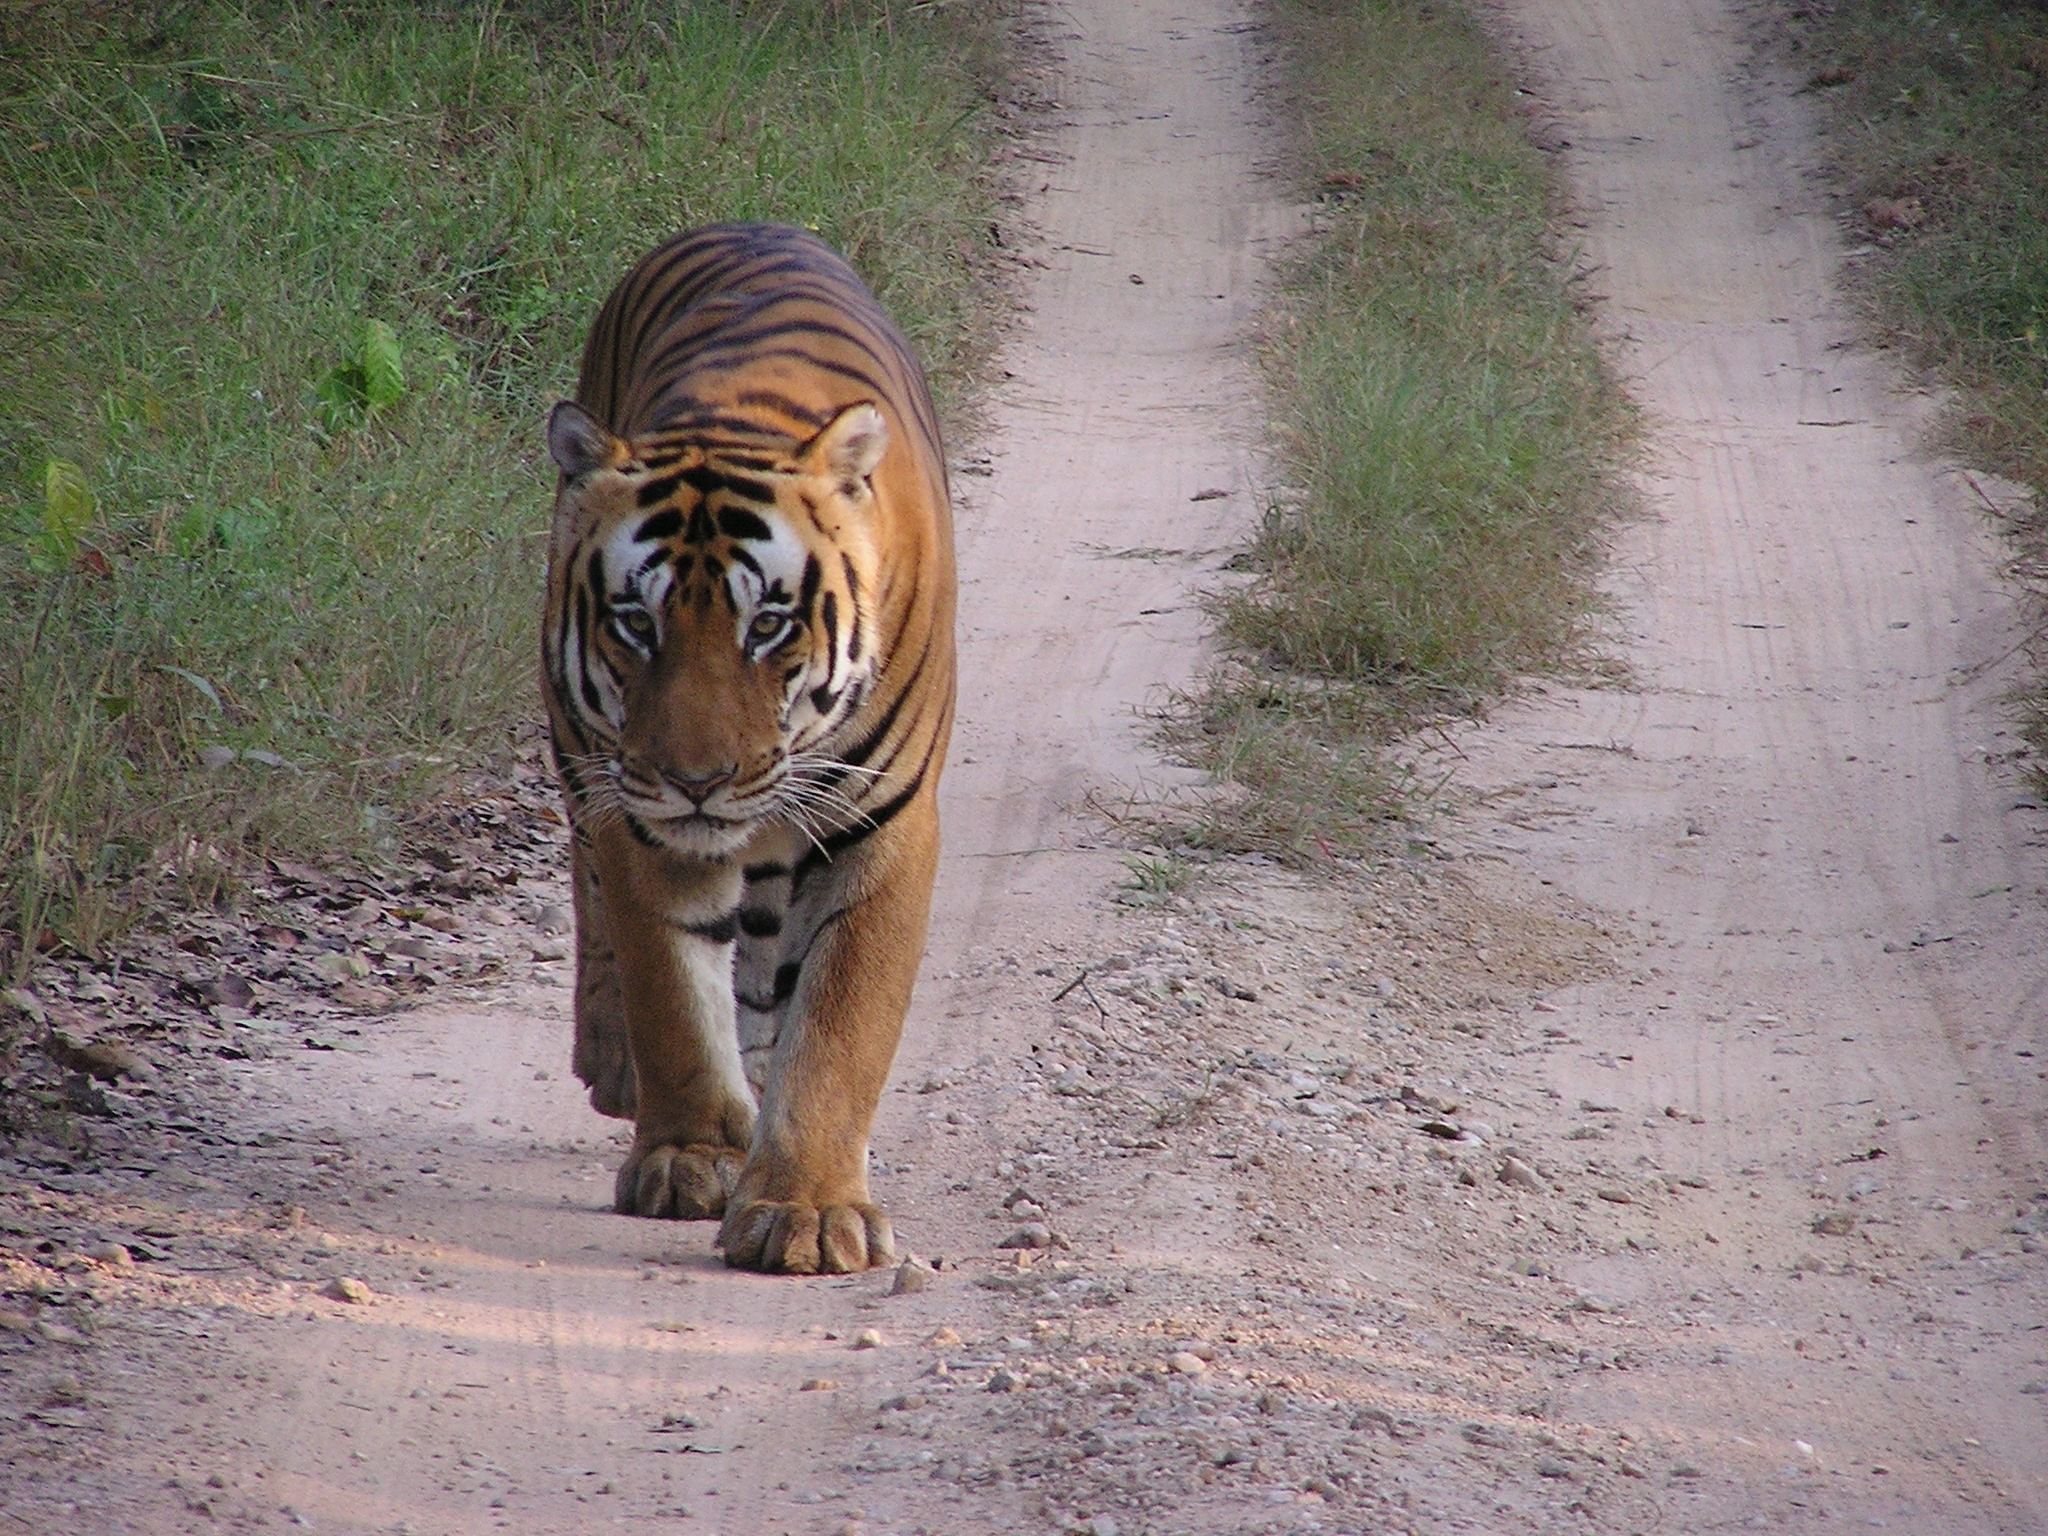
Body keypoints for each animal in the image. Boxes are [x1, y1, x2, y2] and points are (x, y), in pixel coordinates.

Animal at [544, 217, 958, 1277]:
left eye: (767, 625)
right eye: (636, 624)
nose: (696, 780)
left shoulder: (882, 825)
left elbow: (841, 1024)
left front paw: (806, 1208)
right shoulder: (642, 817)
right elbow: (672, 991)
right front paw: (691, 1156)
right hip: (582, 761)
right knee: (591, 888)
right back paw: (615, 1067)